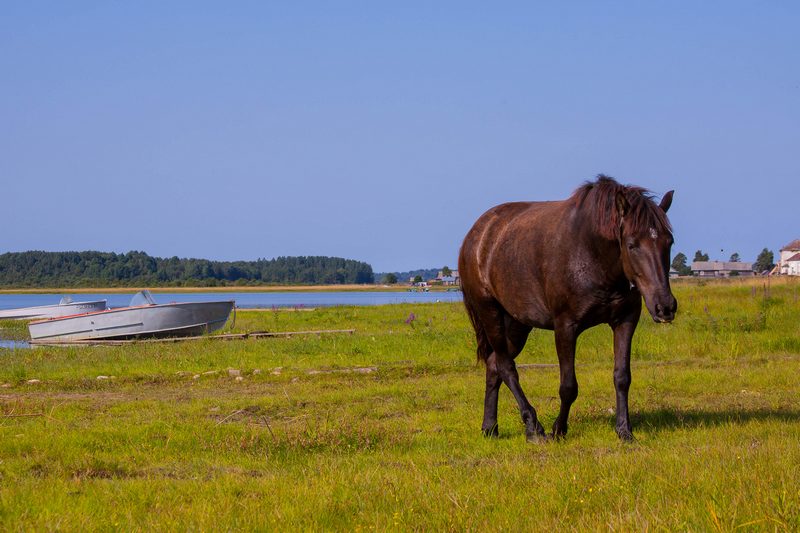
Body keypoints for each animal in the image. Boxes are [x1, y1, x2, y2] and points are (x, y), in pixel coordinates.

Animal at [456, 176, 676, 440]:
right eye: (632, 245)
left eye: (669, 241)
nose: (665, 307)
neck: (591, 253)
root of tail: (477, 235)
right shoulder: (565, 327)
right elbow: (568, 386)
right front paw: (558, 430)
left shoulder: (625, 321)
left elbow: (622, 377)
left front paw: (624, 431)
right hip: (490, 313)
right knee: (506, 367)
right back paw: (533, 427)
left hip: (517, 323)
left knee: (493, 365)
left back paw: (490, 427)